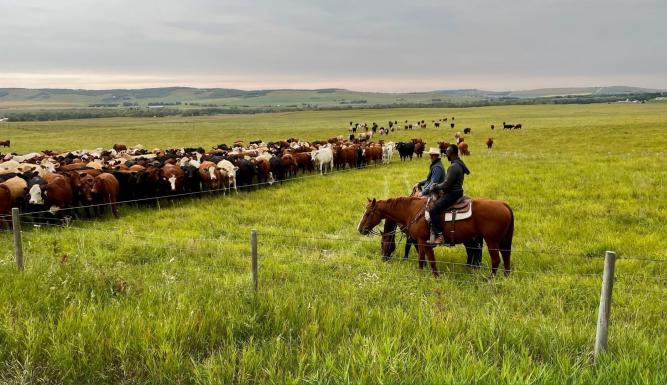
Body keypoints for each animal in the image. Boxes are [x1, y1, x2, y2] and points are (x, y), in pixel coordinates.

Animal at [358, 196, 516, 274]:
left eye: (368, 213)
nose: (360, 229)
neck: (412, 210)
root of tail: (504, 204)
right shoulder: (420, 241)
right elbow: (421, 259)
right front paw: (421, 273)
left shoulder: (423, 241)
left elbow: (431, 260)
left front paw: (435, 276)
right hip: (497, 240)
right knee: (505, 256)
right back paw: (505, 276)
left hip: (491, 241)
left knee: (496, 260)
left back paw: (489, 280)